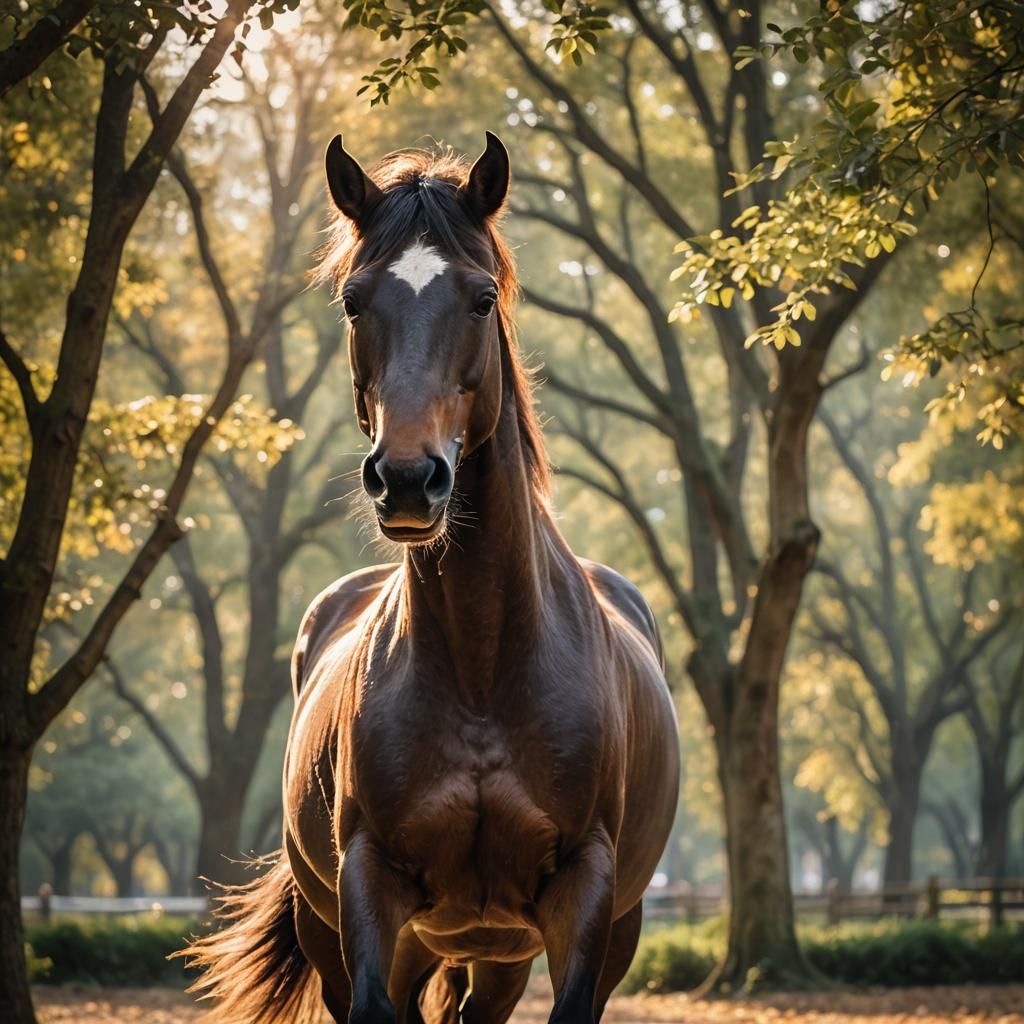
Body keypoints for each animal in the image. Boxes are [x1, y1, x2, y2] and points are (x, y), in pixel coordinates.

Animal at [183, 132, 680, 1024]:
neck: (483, 667)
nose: (410, 481)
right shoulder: (369, 886)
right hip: (369, 933)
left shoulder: (583, 892)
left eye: (481, 299)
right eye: (354, 300)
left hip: (516, 948)